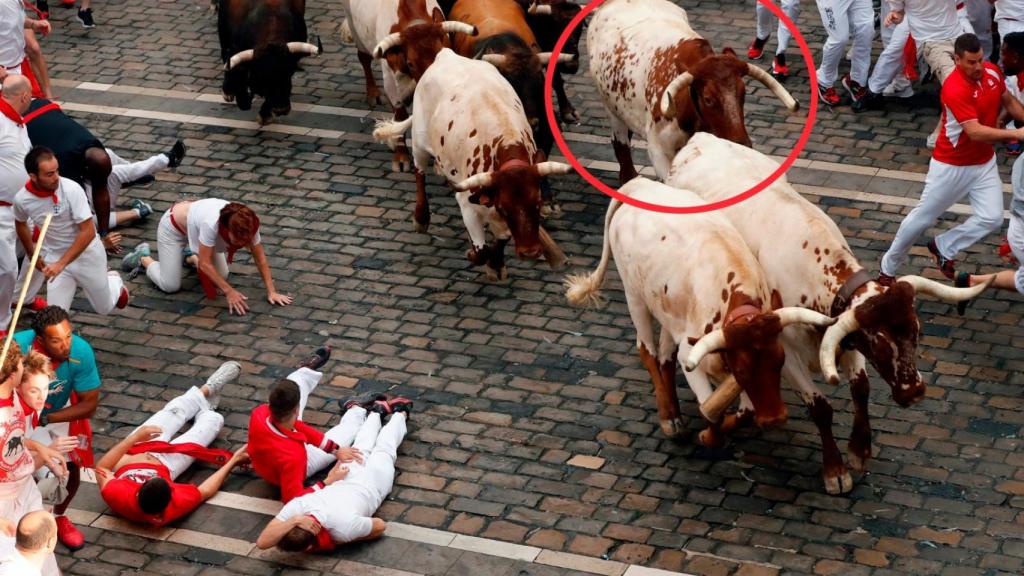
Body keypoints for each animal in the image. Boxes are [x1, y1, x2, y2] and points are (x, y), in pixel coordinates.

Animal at [339, 0, 475, 170]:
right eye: (410, 63)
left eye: (441, 52)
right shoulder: (390, 80)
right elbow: (399, 114)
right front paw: (401, 156)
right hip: (355, 29)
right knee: (363, 57)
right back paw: (373, 94)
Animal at [370, 48, 577, 276]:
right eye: (505, 208)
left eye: (538, 204)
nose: (530, 252)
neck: (505, 145)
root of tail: (447, 54)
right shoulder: (468, 204)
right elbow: (481, 251)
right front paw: (476, 255)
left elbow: (502, 237)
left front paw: (496, 264)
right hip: (419, 141)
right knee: (419, 172)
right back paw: (421, 217)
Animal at [565, 179, 835, 438]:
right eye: (742, 369)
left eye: (779, 362)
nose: (775, 418)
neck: (733, 298)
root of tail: (638, 185)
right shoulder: (691, 358)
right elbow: (710, 413)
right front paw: (707, 435)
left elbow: (743, 411)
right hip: (634, 296)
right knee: (647, 349)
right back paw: (668, 419)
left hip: (668, 311)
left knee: (665, 354)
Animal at [663, 131, 991, 494]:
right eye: (879, 344)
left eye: (916, 332)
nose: (914, 392)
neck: (812, 263)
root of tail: (700, 139)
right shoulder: (786, 350)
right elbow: (820, 407)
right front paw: (834, 470)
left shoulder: (845, 334)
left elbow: (861, 389)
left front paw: (859, 450)